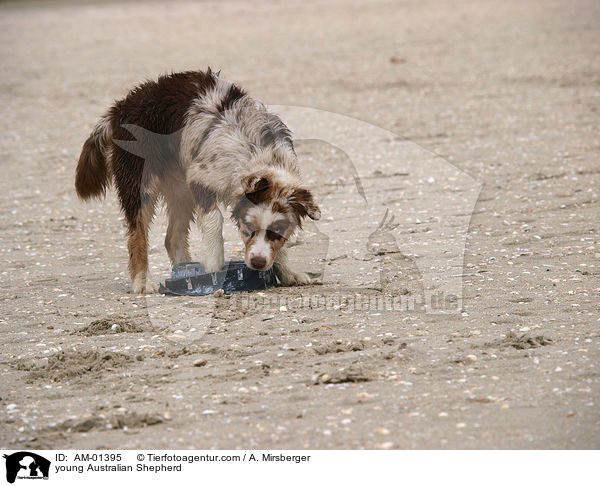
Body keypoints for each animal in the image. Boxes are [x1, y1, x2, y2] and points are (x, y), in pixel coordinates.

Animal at [77, 68, 322, 292]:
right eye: (248, 228)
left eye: (276, 231)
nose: (258, 263)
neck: (257, 154)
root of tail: (121, 107)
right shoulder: (200, 177)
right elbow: (215, 219)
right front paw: (213, 264)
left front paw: (288, 273)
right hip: (141, 182)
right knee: (138, 234)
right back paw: (142, 282)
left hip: (179, 188)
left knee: (172, 237)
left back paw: (184, 272)